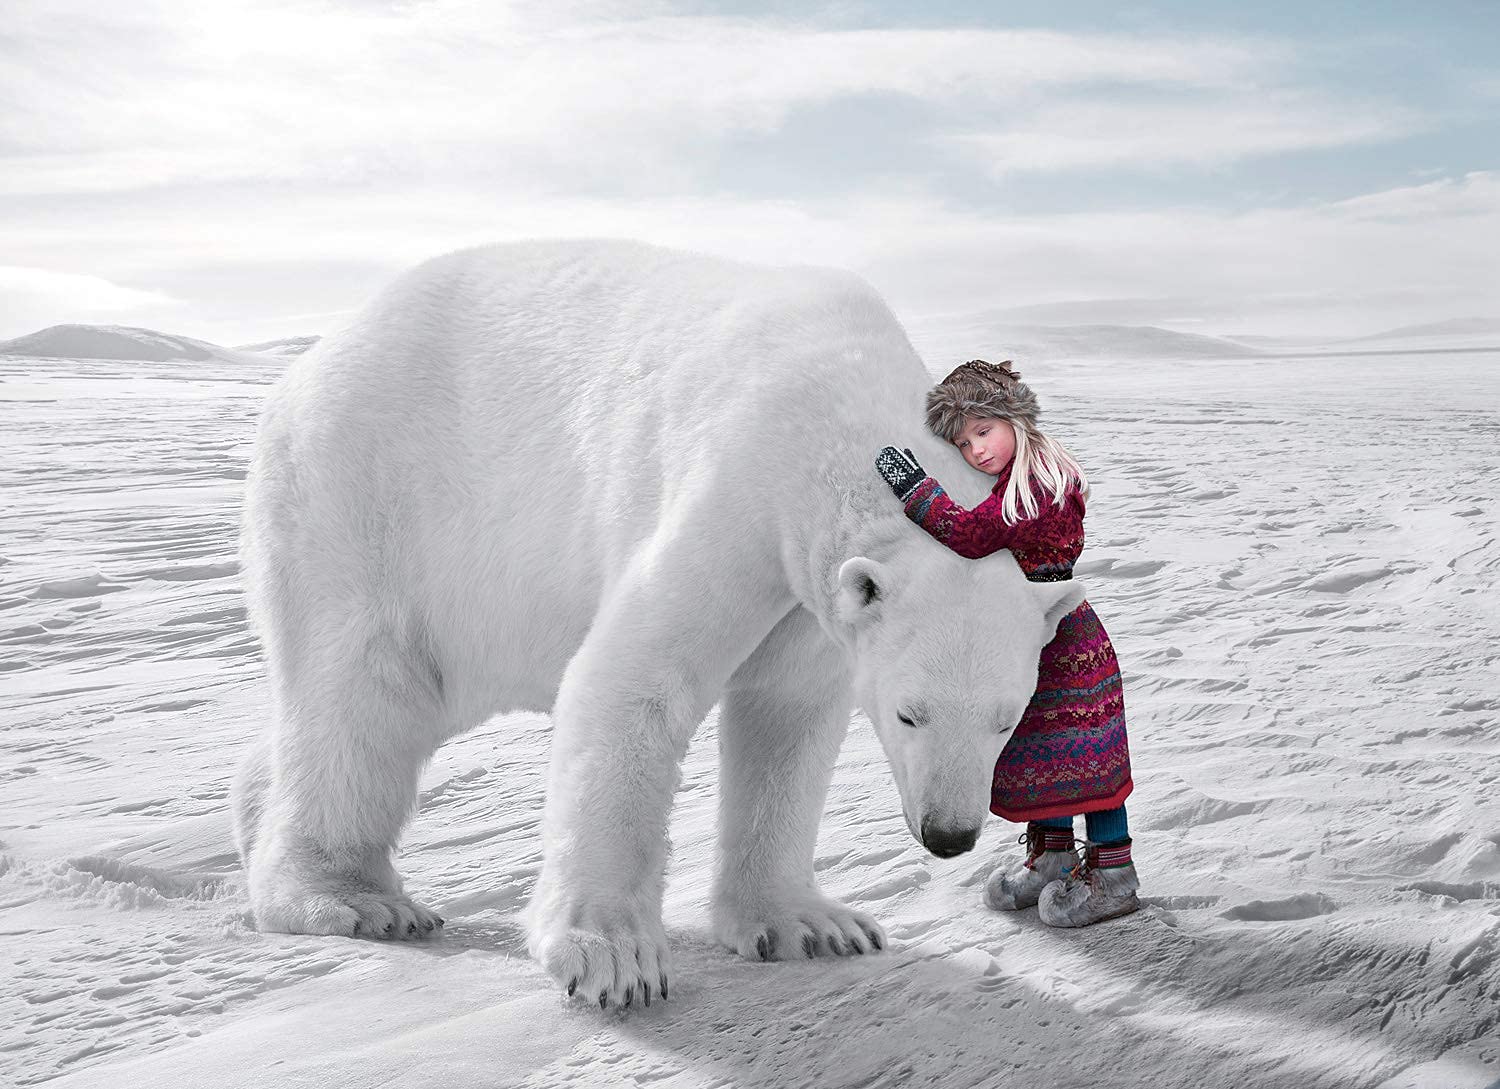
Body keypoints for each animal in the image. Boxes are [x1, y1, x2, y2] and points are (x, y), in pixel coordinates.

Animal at [231, 238, 1086, 1008]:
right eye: (910, 713)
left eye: (1006, 718)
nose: (949, 833)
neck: (840, 404)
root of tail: (307, 367)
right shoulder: (740, 488)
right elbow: (637, 682)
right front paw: (610, 956)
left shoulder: (809, 598)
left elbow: (786, 718)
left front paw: (812, 925)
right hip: (366, 502)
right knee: (363, 693)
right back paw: (352, 897)